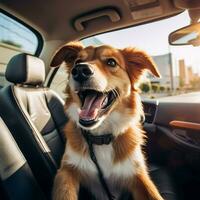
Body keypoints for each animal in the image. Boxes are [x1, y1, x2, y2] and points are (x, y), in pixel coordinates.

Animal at [49, 41, 162, 200]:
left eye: (111, 62)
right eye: (77, 61)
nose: (80, 70)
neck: (100, 137)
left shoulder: (138, 174)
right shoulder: (66, 170)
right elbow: (64, 192)